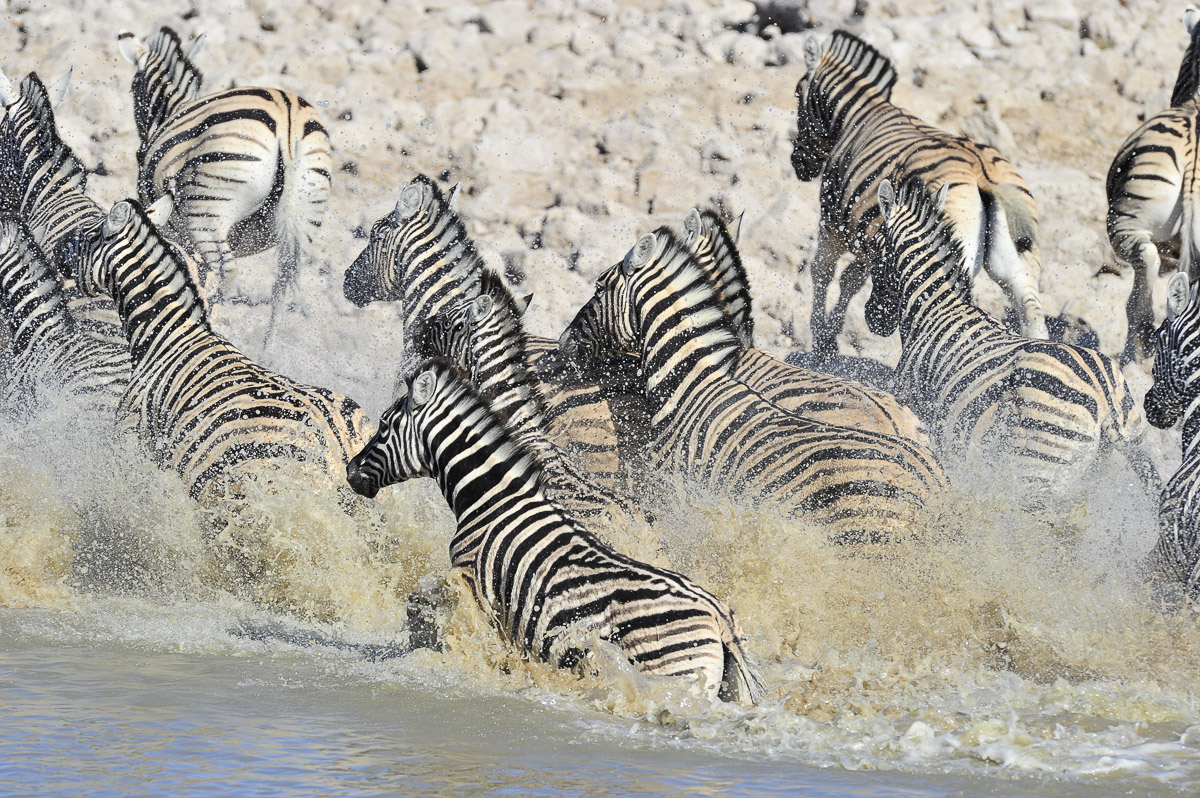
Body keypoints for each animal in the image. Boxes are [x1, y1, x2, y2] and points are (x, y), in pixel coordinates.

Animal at [116, 26, 332, 338]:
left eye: (134, 87)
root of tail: (287, 118)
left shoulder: (179, 234)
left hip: (208, 211)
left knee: (226, 271)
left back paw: (213, 326)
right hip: (305, 217)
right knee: (283, 286)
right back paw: (268, 346)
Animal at [345, 357, 763, 704]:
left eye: (384, 425)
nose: (350, 472)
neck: (492, 499)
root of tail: (718, 617)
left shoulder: (472, 580)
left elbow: (423, 597)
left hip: (669, 672)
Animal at [793, 29, 1046, 360]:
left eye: (797, 96)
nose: (798, 166)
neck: (857, 116)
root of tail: (981, 170)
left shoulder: (833, 223)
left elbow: (822, 271)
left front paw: (820, 338)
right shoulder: (874, 236)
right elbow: (851, 280)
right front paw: (830, 335)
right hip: (1016, 264)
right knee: (1032, 313)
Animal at [869, 176, 1160, 504]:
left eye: (874, 248)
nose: (873, 321)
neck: (935, 307)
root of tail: (1105, 396)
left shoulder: (912, 406)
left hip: (1035, 472)